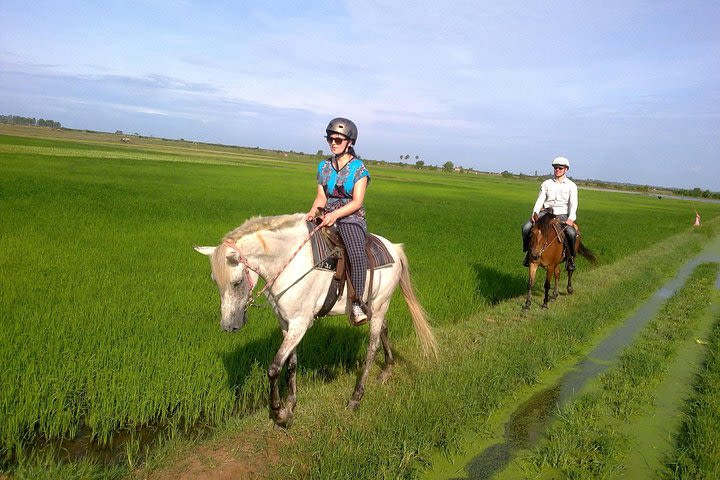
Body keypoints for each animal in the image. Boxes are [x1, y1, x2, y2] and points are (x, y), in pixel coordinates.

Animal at [194, 214, 436, 428]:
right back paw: (386, 370)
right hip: (375, 306)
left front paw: (279, 413)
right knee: (384, 329)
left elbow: (274, 367)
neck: (290, 263)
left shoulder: (301, 323)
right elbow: (291, 364)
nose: (228, 326)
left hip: (379, 305)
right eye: (215, 281)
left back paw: (356, 397)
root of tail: (394, 247)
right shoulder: (286, 323)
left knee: (371, 347)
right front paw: (290, 405)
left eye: (236, 282)